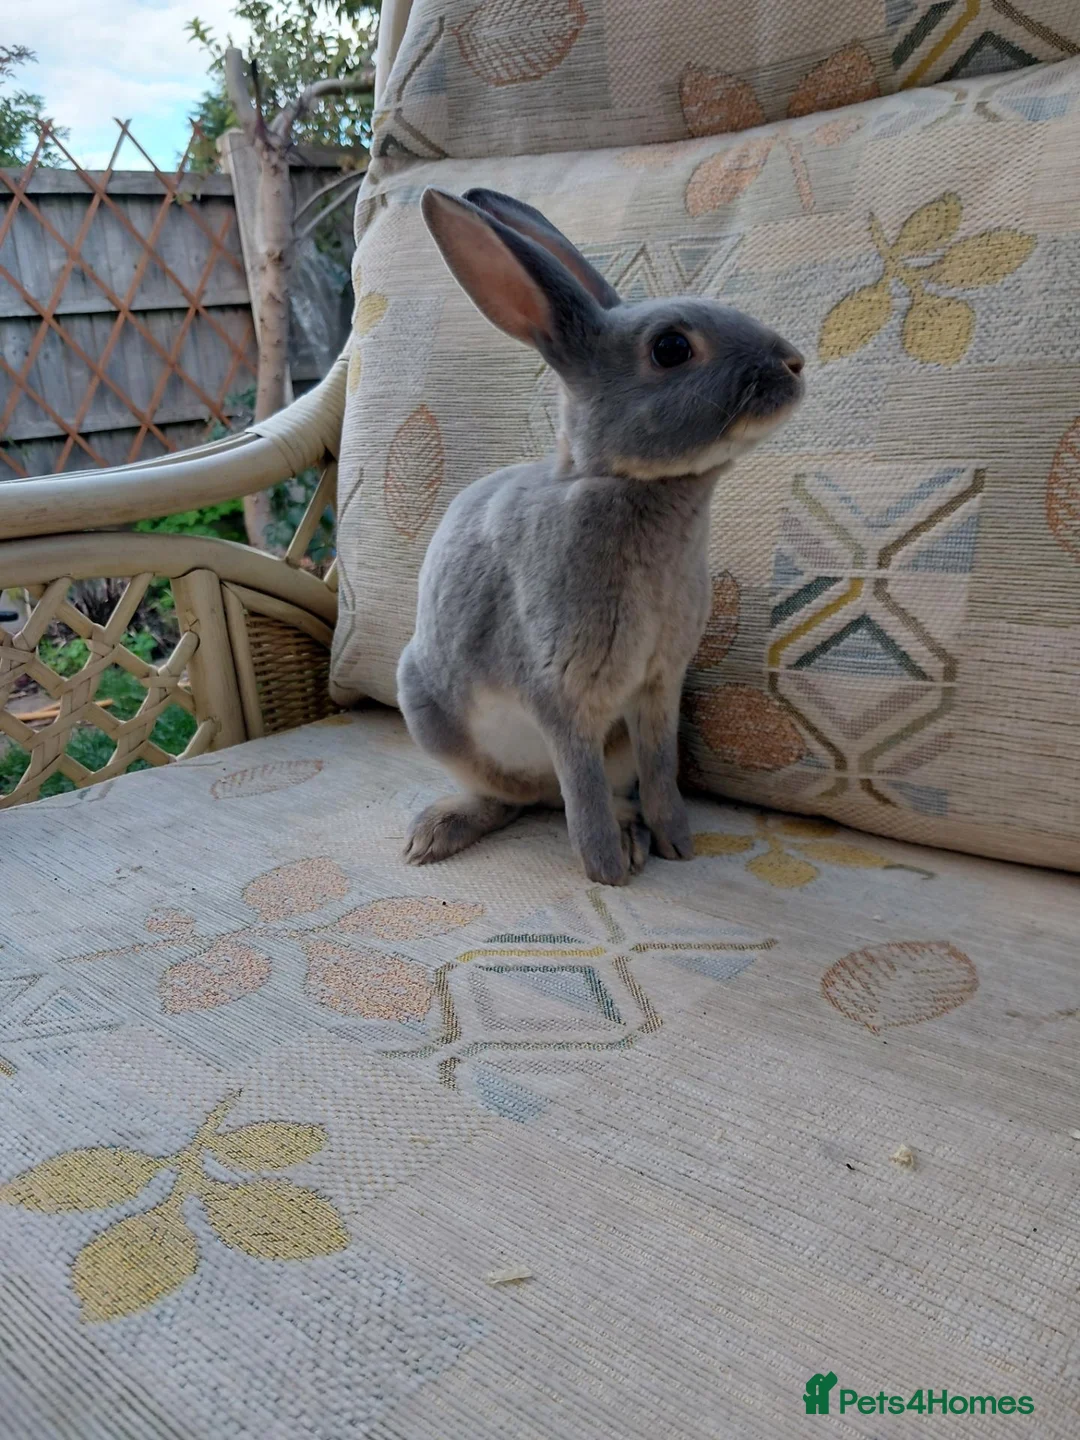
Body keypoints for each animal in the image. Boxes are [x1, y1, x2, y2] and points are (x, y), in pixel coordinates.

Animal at [397, 188, 804, 886]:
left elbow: (660, 773)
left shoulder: (658, 686)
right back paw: (438, 833)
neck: (623, 482)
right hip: (431, 711)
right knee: (511, 797)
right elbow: (581, 789)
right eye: (671, 348)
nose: (795, 363)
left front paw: (676, 844)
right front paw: (606, 872)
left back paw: (630, 833)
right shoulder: (561, 693)